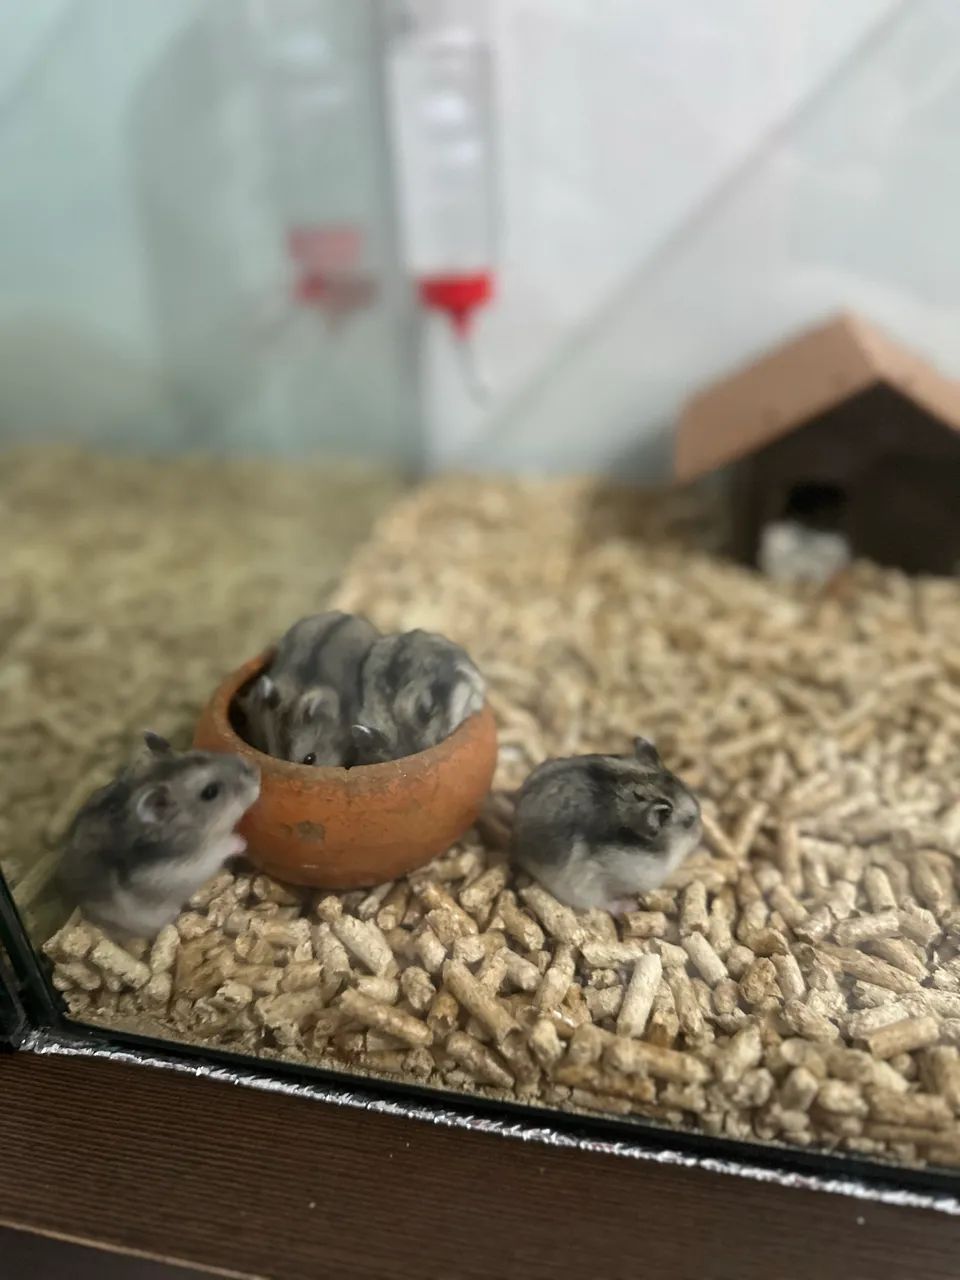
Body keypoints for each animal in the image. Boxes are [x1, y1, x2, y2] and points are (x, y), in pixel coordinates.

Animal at [57, 732, 260, 937]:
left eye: (205, 754)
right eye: (210, 792)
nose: (256, 773)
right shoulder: (192, 865)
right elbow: (221, 848)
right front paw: (242, 842)